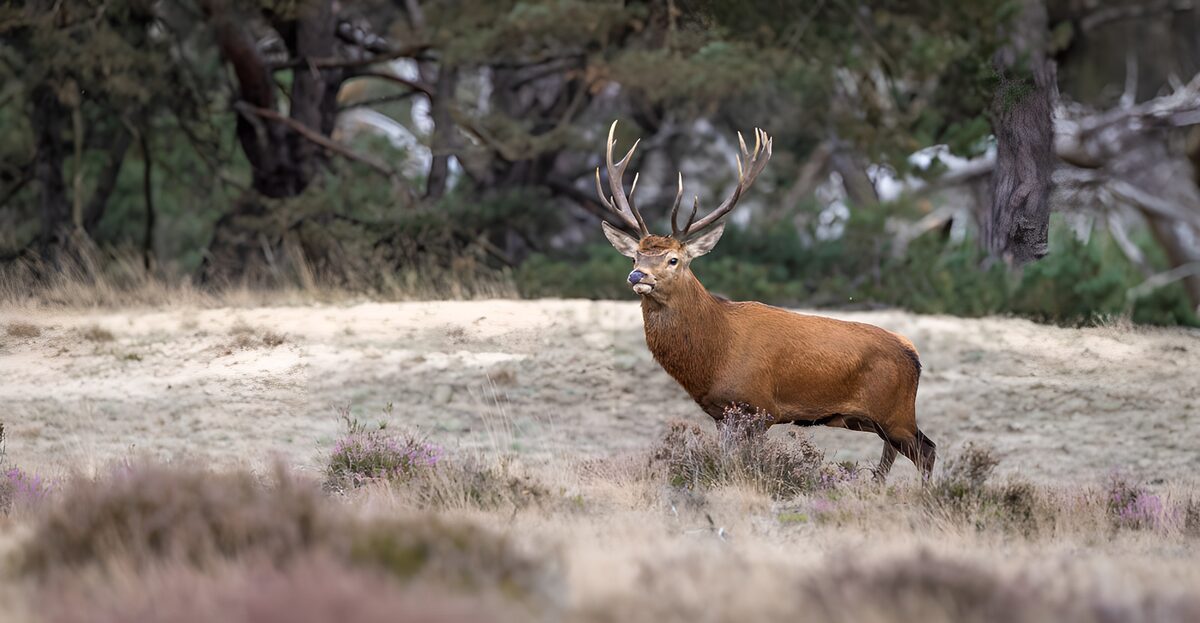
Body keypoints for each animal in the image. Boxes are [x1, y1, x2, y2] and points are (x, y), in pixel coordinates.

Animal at [595, 121, 935, 481]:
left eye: (673, 259)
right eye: (635, 256)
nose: (637, 276)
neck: (714, 355)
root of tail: (913, 354)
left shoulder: (761, 406)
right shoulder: (722, 413)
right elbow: (726, 461)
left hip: (896, 412)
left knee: (927, 450)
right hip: (872, 418)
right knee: (894, 453)